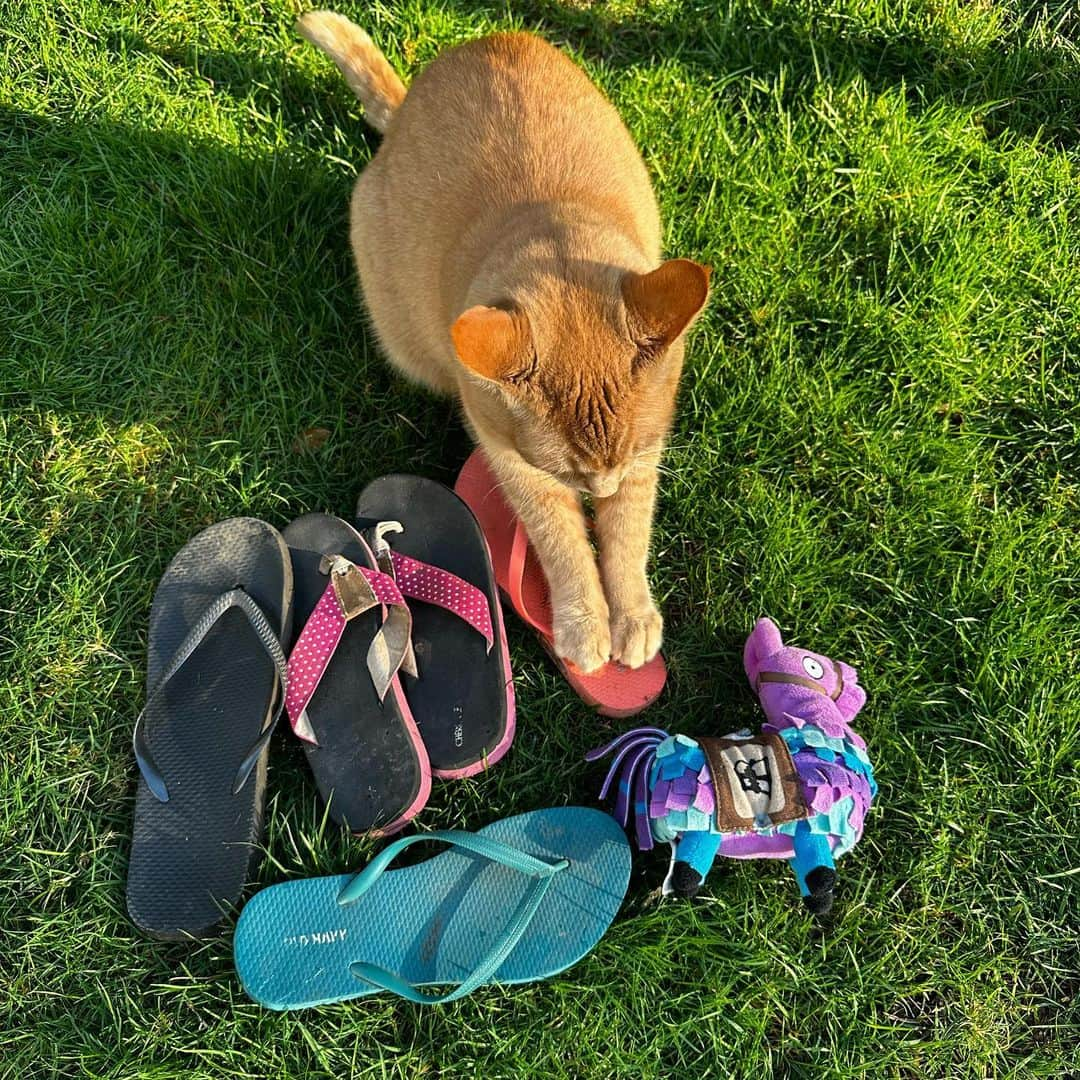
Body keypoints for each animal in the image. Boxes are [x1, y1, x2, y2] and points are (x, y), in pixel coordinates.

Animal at [295, 12, 708, 673]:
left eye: (614, 466)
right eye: (567, 471)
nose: (598, 490)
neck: (547, 224)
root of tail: (406, 108)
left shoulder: (643, 456)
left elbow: (627, 534)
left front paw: (633, 614)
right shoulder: (518, 465)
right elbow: (563, 541)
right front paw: (584, 623)